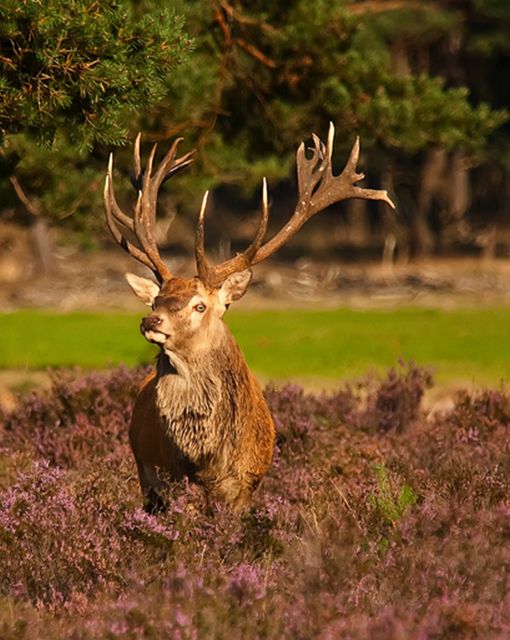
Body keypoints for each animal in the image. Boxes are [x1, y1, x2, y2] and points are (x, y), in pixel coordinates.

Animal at [104, 124, 395, 513]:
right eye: (156, 300)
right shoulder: (174, 483)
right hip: (146, 480)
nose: (151, 322)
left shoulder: (245, 486)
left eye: (200, 306)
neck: (208, 462)